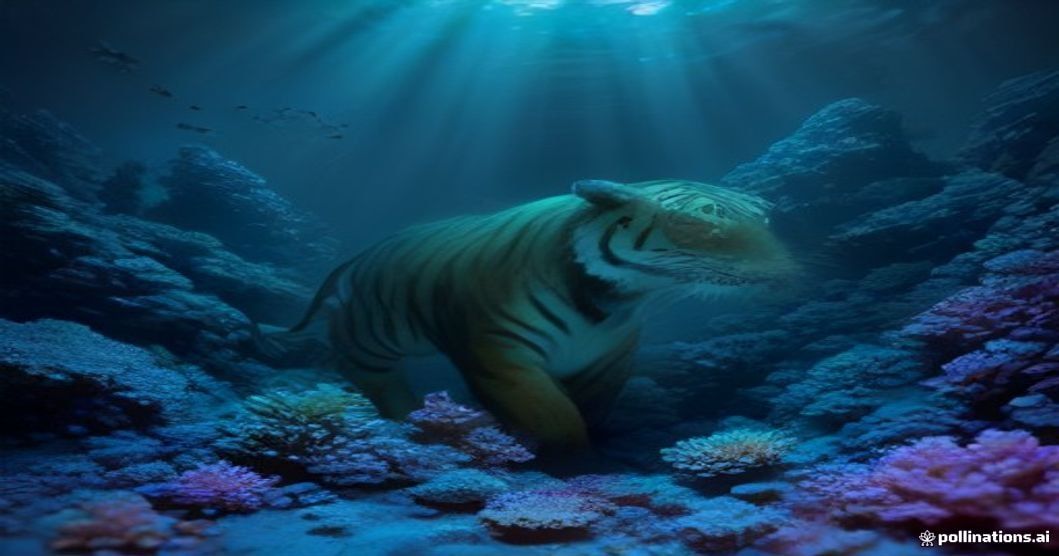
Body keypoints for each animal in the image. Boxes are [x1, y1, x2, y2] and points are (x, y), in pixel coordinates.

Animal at [262, 179, 793, 449]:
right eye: (702, 222)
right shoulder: (498, 354)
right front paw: (562, 458)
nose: (782, 268)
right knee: (358, 366)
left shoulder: (609, 359)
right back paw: (407, 417)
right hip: (373, 334)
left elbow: (590, 408)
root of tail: (361, 254)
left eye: (764, 221)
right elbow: (556, 418)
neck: (612, 299)